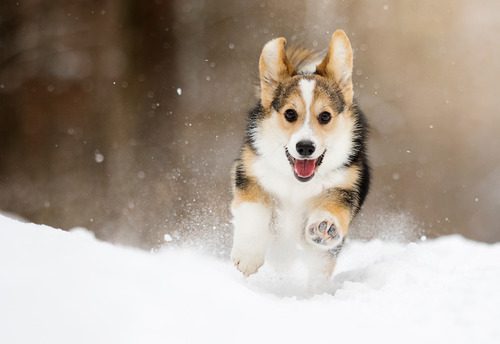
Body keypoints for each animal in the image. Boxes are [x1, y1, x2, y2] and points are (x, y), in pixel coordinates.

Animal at [229, 28, 368, 276]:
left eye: (325, 116)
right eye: (290, 114)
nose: (305, 147)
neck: (297, 183)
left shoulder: (345, 187)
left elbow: (332, 209)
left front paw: (325, 227)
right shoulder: (251, 174)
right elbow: (254, 212)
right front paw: (247, 257)